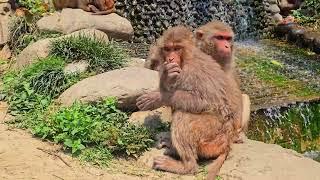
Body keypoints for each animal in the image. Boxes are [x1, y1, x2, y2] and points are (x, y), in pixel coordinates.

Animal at [152, 25, 240, 179]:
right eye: (168, 49)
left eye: (177, 48)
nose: (170, 58)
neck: (187, 56)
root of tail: (227, 143)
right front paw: (166, 76)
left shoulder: (190, 71)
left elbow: (205, 101)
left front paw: (155, 98)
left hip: (212, 136)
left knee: (183, 115)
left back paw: (187, 166)